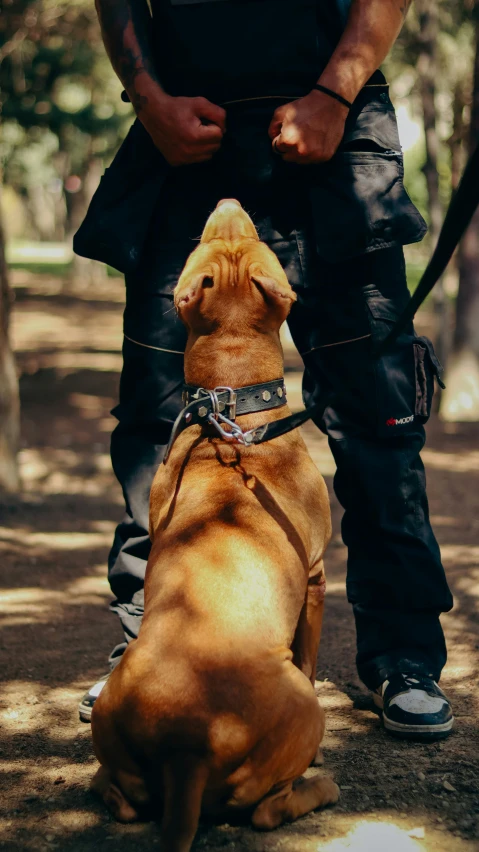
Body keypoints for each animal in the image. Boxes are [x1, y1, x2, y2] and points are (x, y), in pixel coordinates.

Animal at [90, 198, 338, 844]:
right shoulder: (318, 576)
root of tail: (188, 748)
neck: (228, 409)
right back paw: (321, 786)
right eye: (254, 242)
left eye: (235, 241)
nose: (228, 200)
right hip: (300, 715)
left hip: (111, 726)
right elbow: (311, 652)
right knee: (268, 810)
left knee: (120, 797)